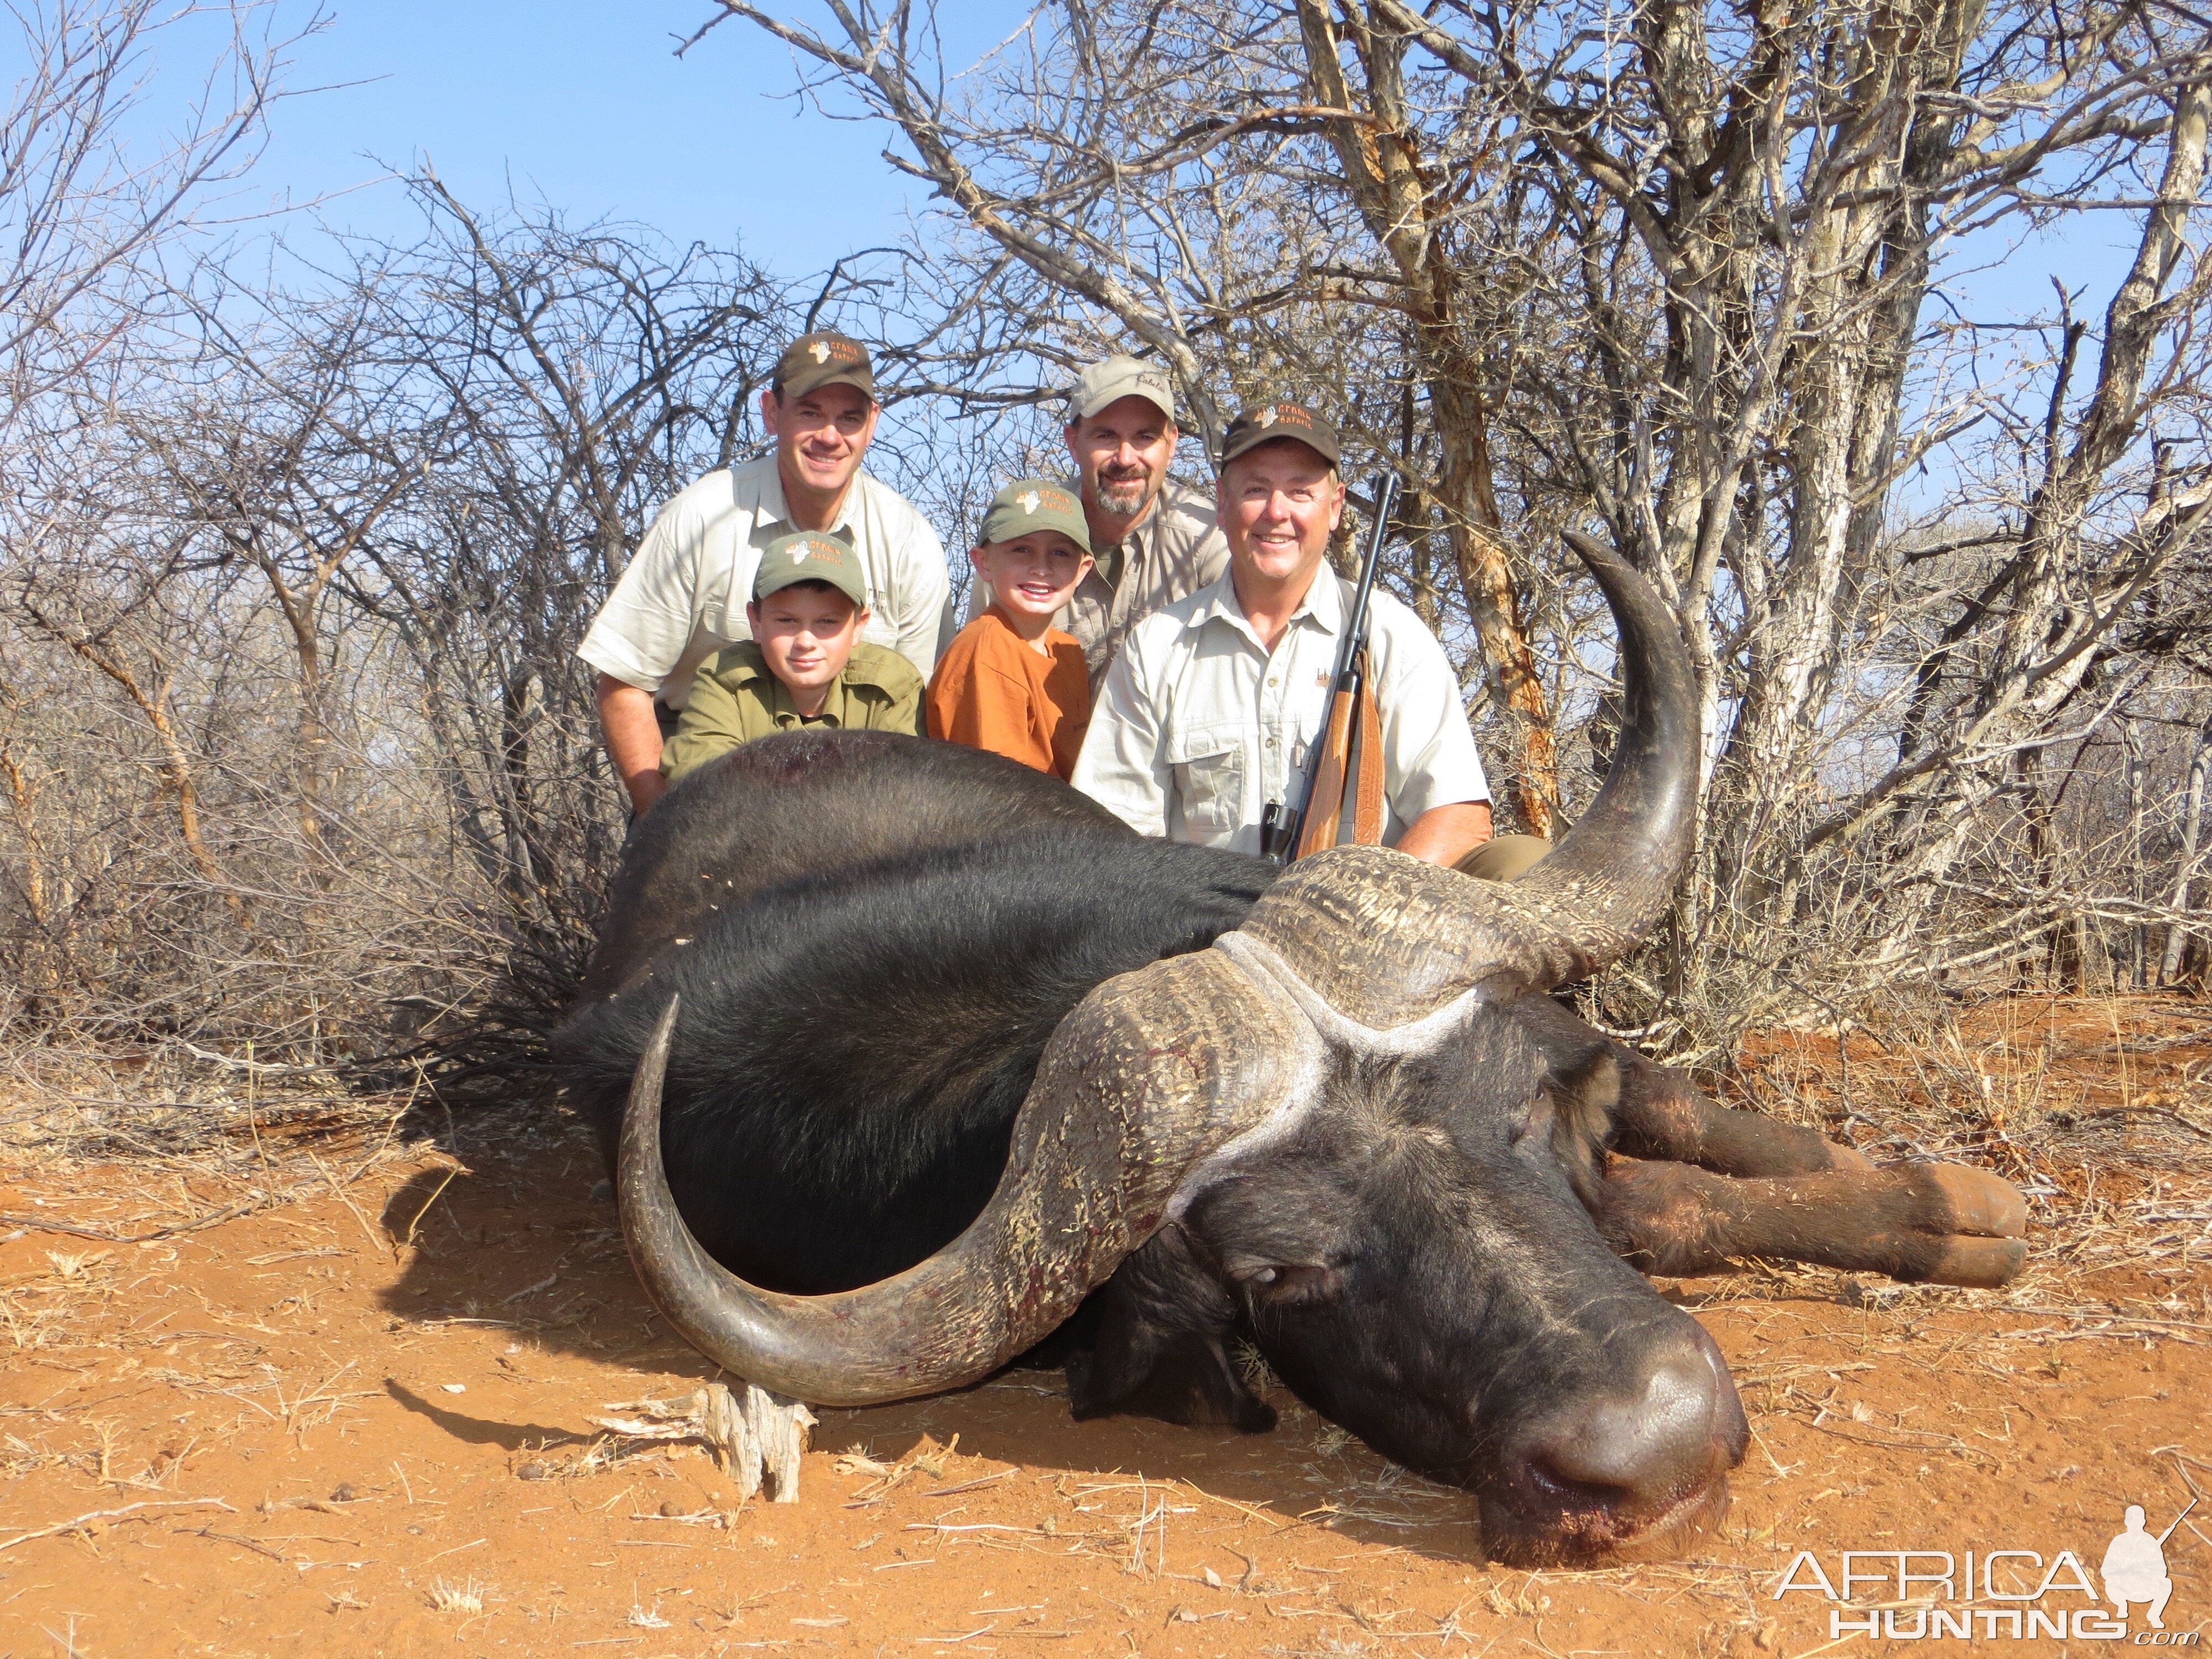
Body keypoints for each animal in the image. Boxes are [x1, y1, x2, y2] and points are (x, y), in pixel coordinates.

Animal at [557, 540, 2026, 1566]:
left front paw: (1948, 1204)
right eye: (1283, 1272)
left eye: (1517, 1124)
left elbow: (1663, 1151)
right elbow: (1651, 1205)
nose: (1657, 1451)